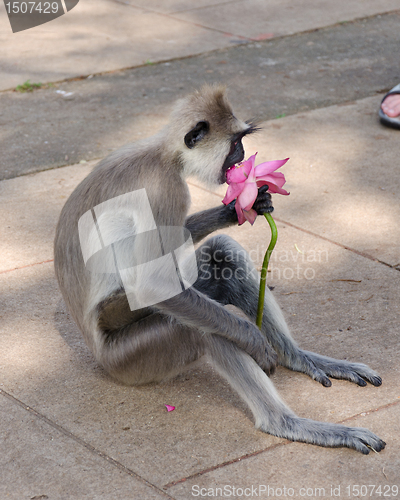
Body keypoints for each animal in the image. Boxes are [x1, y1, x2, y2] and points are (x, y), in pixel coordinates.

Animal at [54, 85, 386, 454]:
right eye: (235, 144)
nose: (241, 158)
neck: (163, 154)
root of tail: (98, 354)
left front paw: (240, 207)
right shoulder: (164, 188)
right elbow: (155, 285)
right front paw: (253, 339)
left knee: (222, 253)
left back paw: (299, 358)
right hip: (129, 353)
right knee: (199, 328)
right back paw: (286, 423)